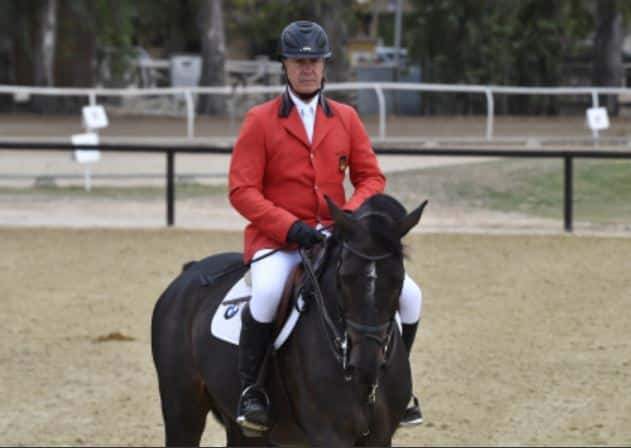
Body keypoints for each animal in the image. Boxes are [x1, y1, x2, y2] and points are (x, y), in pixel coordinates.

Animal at [152, 194, 430, 446]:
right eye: (343, 278)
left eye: (398, 279)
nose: (365, 364)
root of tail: (190, 272)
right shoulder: (331, 435)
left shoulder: (380, 438)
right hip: (182, 408)